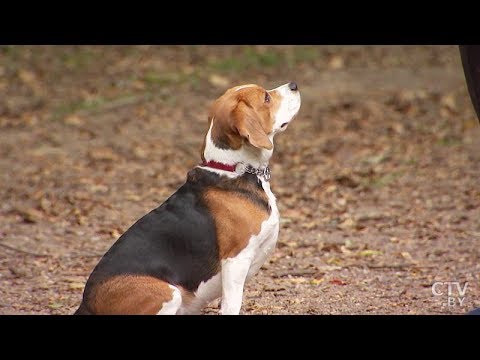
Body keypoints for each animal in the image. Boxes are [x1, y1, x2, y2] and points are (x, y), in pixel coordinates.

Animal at [74, 82, 300, 316]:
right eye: (266, 98)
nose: (293, 85)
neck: (235, 169)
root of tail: (86, 303)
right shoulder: (235, 260)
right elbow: (231, 305)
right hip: (168, 292)